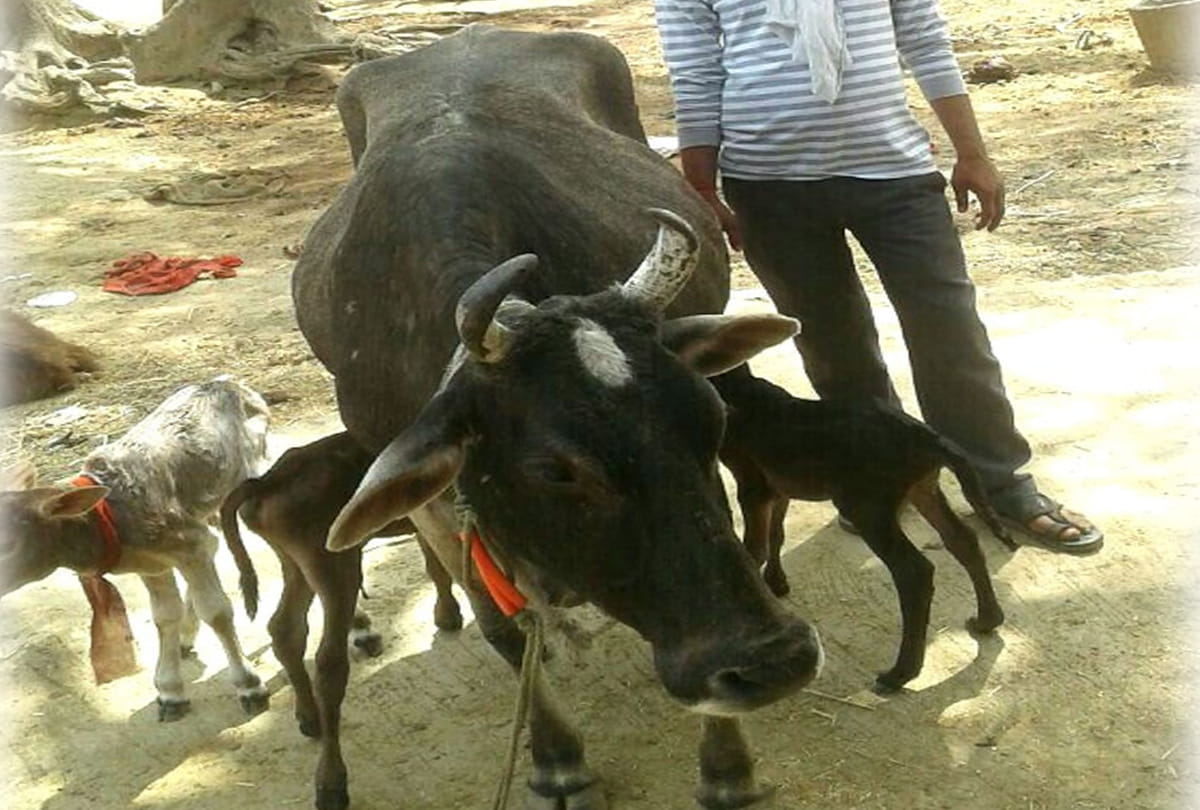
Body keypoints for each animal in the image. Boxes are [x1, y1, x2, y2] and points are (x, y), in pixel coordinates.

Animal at [291, 24, 823, 810]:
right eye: (554, 468)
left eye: (712, 419)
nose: (774, 662)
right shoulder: (435, 503)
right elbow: (507, 633)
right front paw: (556, 758)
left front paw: (726, 764)